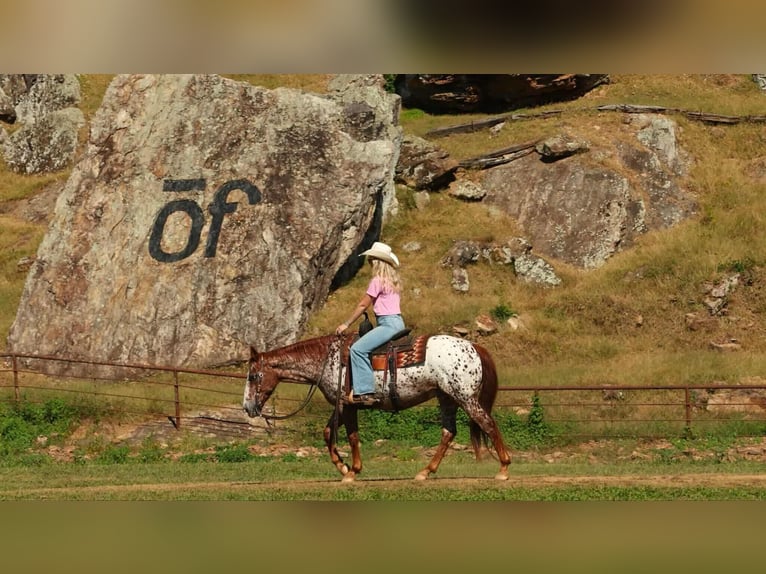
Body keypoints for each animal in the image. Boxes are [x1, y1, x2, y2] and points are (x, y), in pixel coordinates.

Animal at [242, 332, 512, 482]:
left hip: (466, 398)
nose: (247, 407)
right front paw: (342, 466)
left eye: (253, 376)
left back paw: (503, 469)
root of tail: (474, 347)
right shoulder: (342, 406)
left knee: (488, 424)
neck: (328, 360)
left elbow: (352, 437)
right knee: (448, 433)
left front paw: (352, 471)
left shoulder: (349, 407)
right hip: (446, 398)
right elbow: (328, 433)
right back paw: (425, 472)